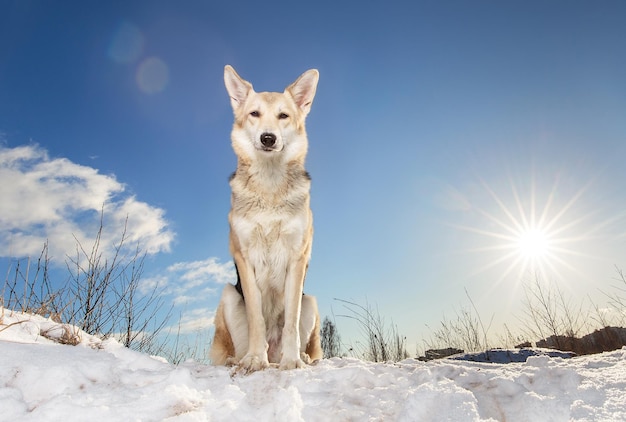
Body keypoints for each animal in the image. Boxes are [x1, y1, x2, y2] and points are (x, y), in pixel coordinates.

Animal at [211, 64, 322, 370]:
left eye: (283, 116)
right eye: (254, 114)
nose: (268, 138)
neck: (270, 188)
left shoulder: (297, 258)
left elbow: (291, 323)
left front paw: (292, 361)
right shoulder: (244, 257)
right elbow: (256, 319)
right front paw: (254, 360)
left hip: (311, 301)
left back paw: (300, 357)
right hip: (228, 293)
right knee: (235, 348)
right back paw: (242, 359)